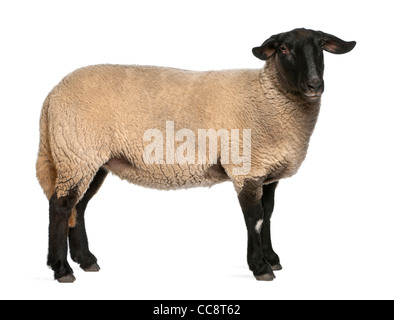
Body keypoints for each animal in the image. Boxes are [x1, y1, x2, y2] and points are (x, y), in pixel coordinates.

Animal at [37, 28, 358, 282]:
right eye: (283, 49)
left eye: (321, 47)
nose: (314, 85)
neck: (267, 97)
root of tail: (51, 97)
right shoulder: (246, 167)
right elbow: (254, 218)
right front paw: (260, 267)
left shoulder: (267, 171)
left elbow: (268, 214)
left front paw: (272, 258)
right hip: (76, 153)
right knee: (61, 206)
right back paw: (62, 269)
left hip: (89, 159)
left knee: (78, 207)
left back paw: (86, 260)